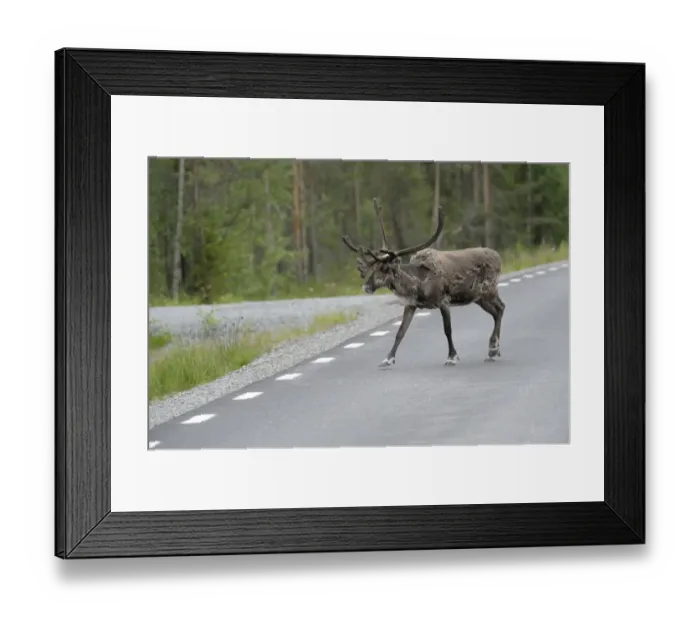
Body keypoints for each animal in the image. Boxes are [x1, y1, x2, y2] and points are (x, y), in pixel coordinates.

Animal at [341, 199, 506, 369]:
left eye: (385, 268)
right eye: (372, 268)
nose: (366, 287)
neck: (417, 285)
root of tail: (498, 256)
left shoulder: (443, 301)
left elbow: (448, 330)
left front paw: (451, 356)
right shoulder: (410, 305)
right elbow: (400, 332)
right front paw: (388, 359)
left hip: (489, 290)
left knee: (501, 308)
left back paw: (493, 348)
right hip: (478, 298)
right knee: (496, 312)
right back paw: (494, 350)